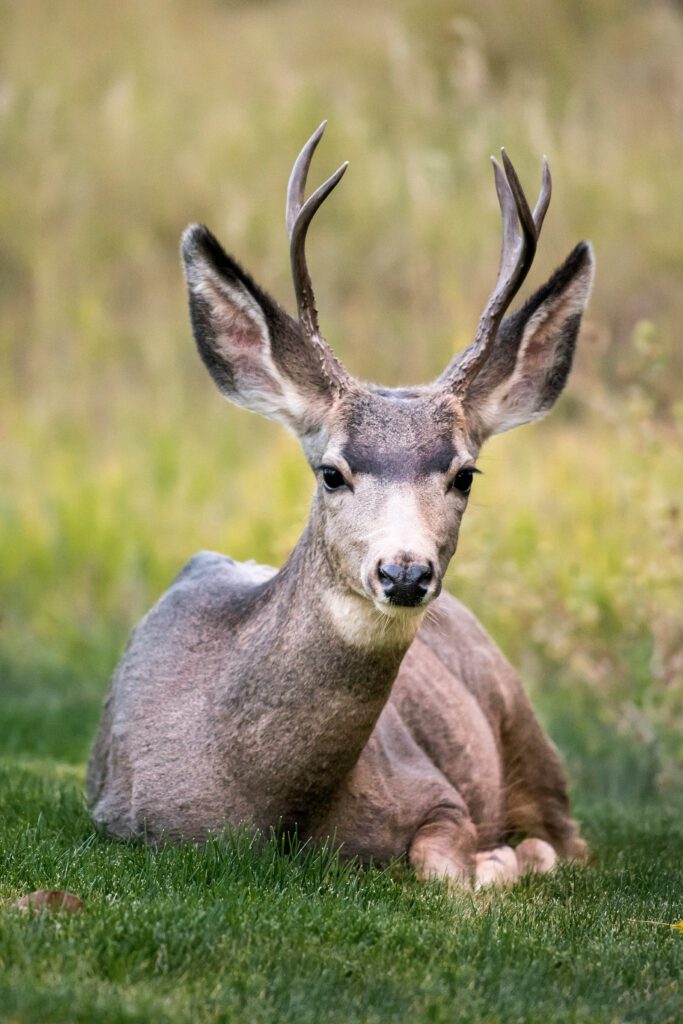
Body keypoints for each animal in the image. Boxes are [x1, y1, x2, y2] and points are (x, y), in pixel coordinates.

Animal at [88, 123, 594, 888]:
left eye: (465, 475)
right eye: (331, 473)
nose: (405, 572)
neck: (271, 808)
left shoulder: (436, 791)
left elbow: (445, 864)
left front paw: (501, 860)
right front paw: (501, 861)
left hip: (523, 724)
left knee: (574, 838)